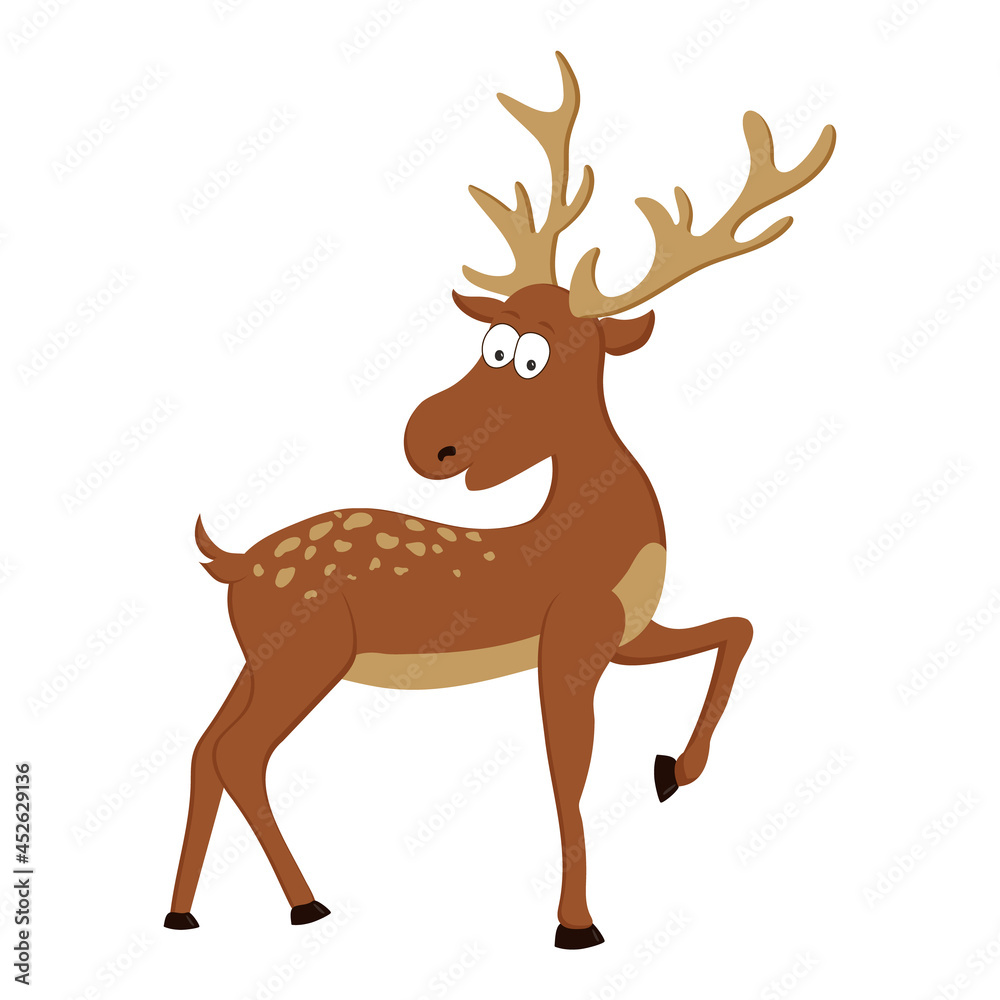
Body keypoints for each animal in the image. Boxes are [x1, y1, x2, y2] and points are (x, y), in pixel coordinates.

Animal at [164, 52, 835, 949]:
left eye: (528, 358)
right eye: (493, 339)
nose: (426, 441)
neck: (595, 533)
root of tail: (230, 562)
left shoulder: (623, 633)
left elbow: (737, 629)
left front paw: (672, 772)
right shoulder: (572, 639)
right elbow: (568, 777)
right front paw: (577, 925)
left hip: (259, 657)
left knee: (206, 748)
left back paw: (185, 913)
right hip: (305, 655)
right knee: (240, 755)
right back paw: (307, 903)